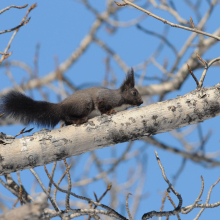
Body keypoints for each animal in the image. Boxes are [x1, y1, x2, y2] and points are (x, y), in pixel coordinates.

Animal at [0, 68, 144, 127]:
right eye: (134, 93)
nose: (142, 101)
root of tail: (61, 106)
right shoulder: (105, 97)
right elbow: (102, 105)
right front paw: (108, 111)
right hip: (84, 104)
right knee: (67, 116)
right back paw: (79, 120)